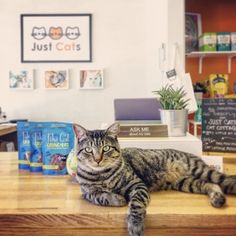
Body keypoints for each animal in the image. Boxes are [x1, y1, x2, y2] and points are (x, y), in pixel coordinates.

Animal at [73, 123, 236, 236]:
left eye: (106, 148)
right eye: (88, 150)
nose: (97, 160)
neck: (101, 175)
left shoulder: (137, 185)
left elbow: (136, 204)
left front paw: (135, 225)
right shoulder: (86, 193)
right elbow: (100, 196)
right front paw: (116, 198)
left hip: (200, 170)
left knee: (221, 180)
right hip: (186, 183)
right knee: (210, 185)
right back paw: (217, 198)